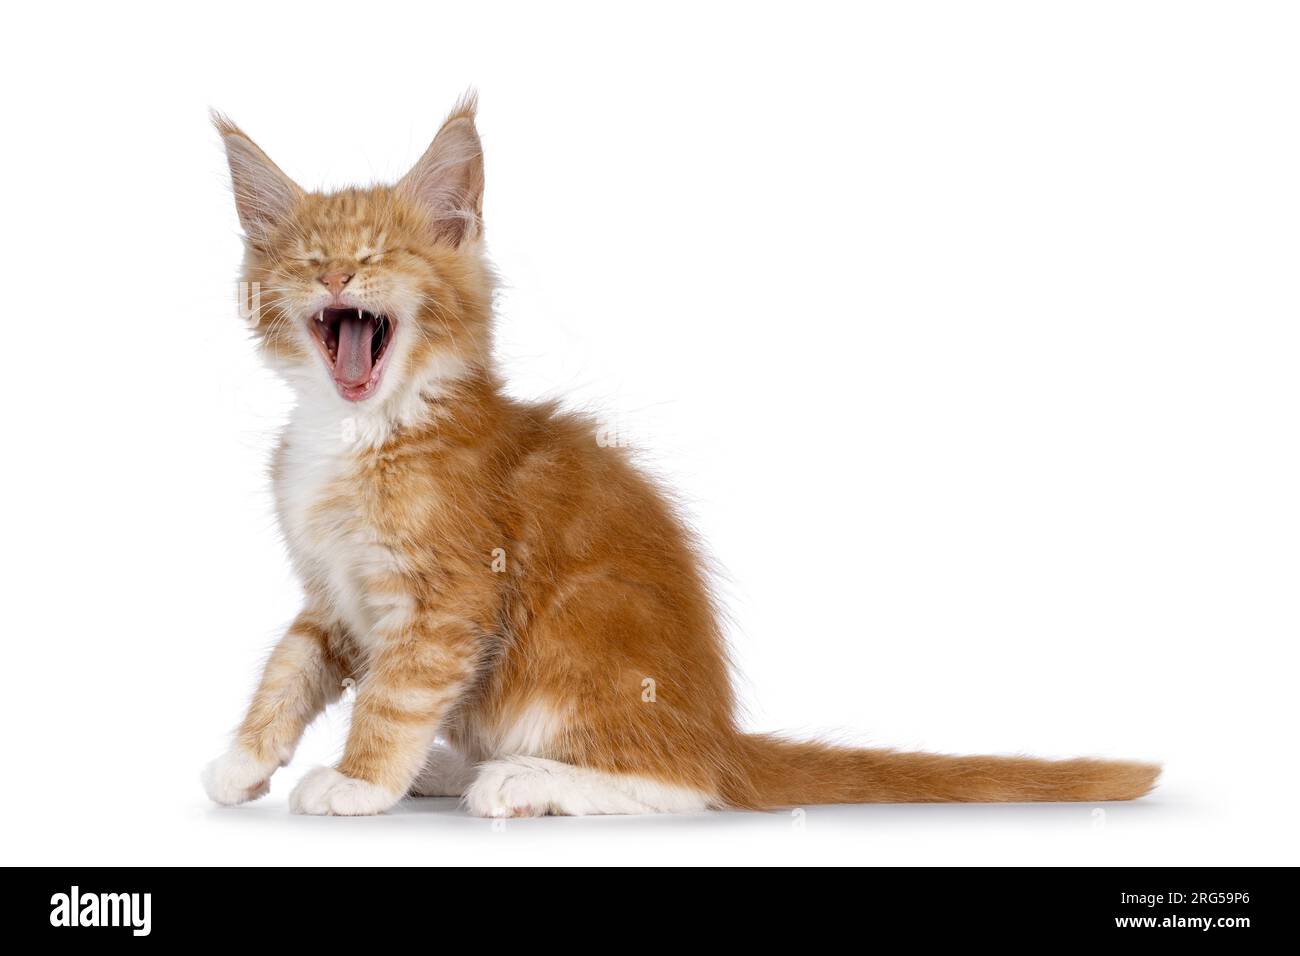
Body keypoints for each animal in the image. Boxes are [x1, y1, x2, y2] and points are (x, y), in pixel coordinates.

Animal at [200, 95, 1159, 816]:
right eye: (308, 261)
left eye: (383, 255)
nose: (337, 279)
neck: (358, 429)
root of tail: (720, 733)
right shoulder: (332, 594)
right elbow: (290, 667)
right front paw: (244, 760)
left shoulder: (447, 598)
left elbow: (394, 695)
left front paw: (359, 781)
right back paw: (453, 766)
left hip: (579, 645)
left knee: (683, 783)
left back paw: (517, 779)